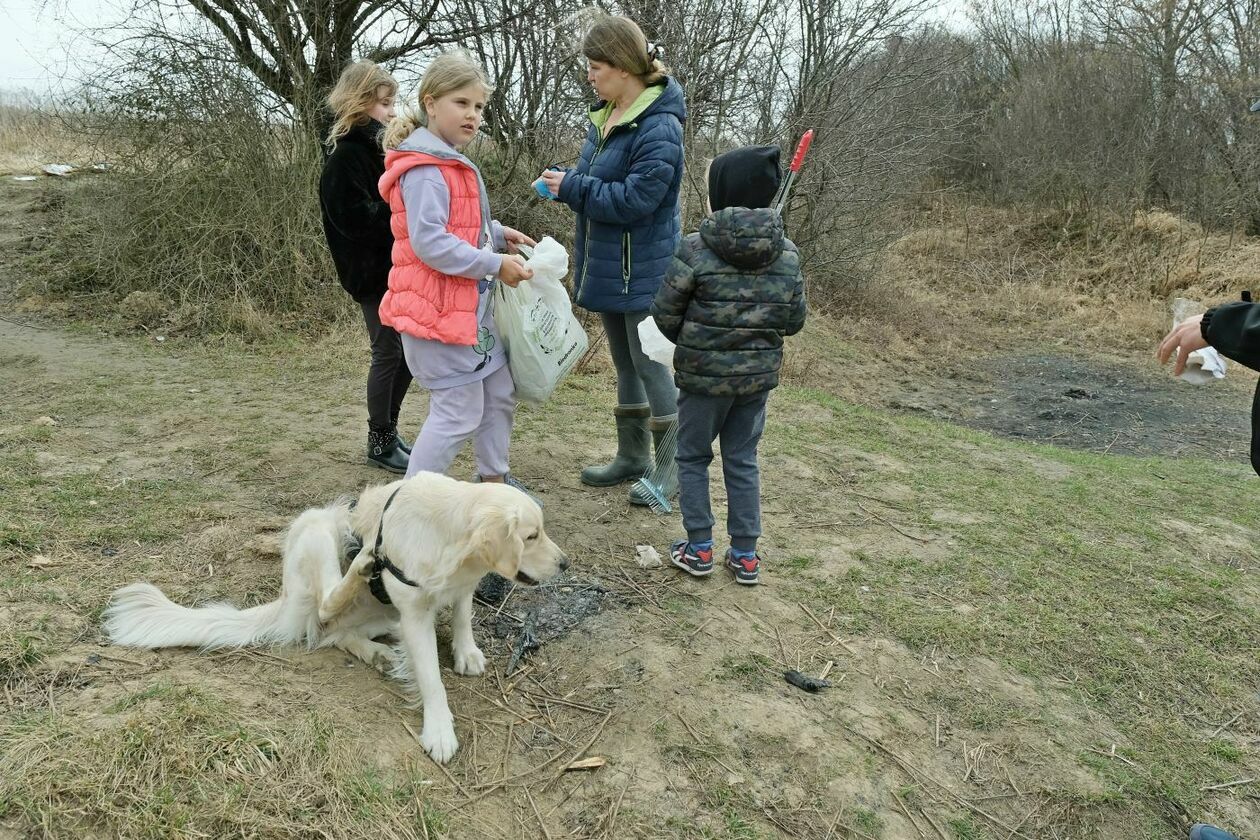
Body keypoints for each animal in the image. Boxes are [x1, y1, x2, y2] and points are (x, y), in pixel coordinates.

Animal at [103, 473, 567, 760]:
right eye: (531, 536)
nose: (564, 564)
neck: (449, 541)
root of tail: (286, 600)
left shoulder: (457, 590)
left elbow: (463, 616)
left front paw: (467, 652)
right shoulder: (414, 614)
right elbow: (432, 679)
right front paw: (439, 730)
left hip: (384, 615)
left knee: (334, 632)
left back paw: (378, 654)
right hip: (319, 530)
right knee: (326, 605)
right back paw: (359, 568)